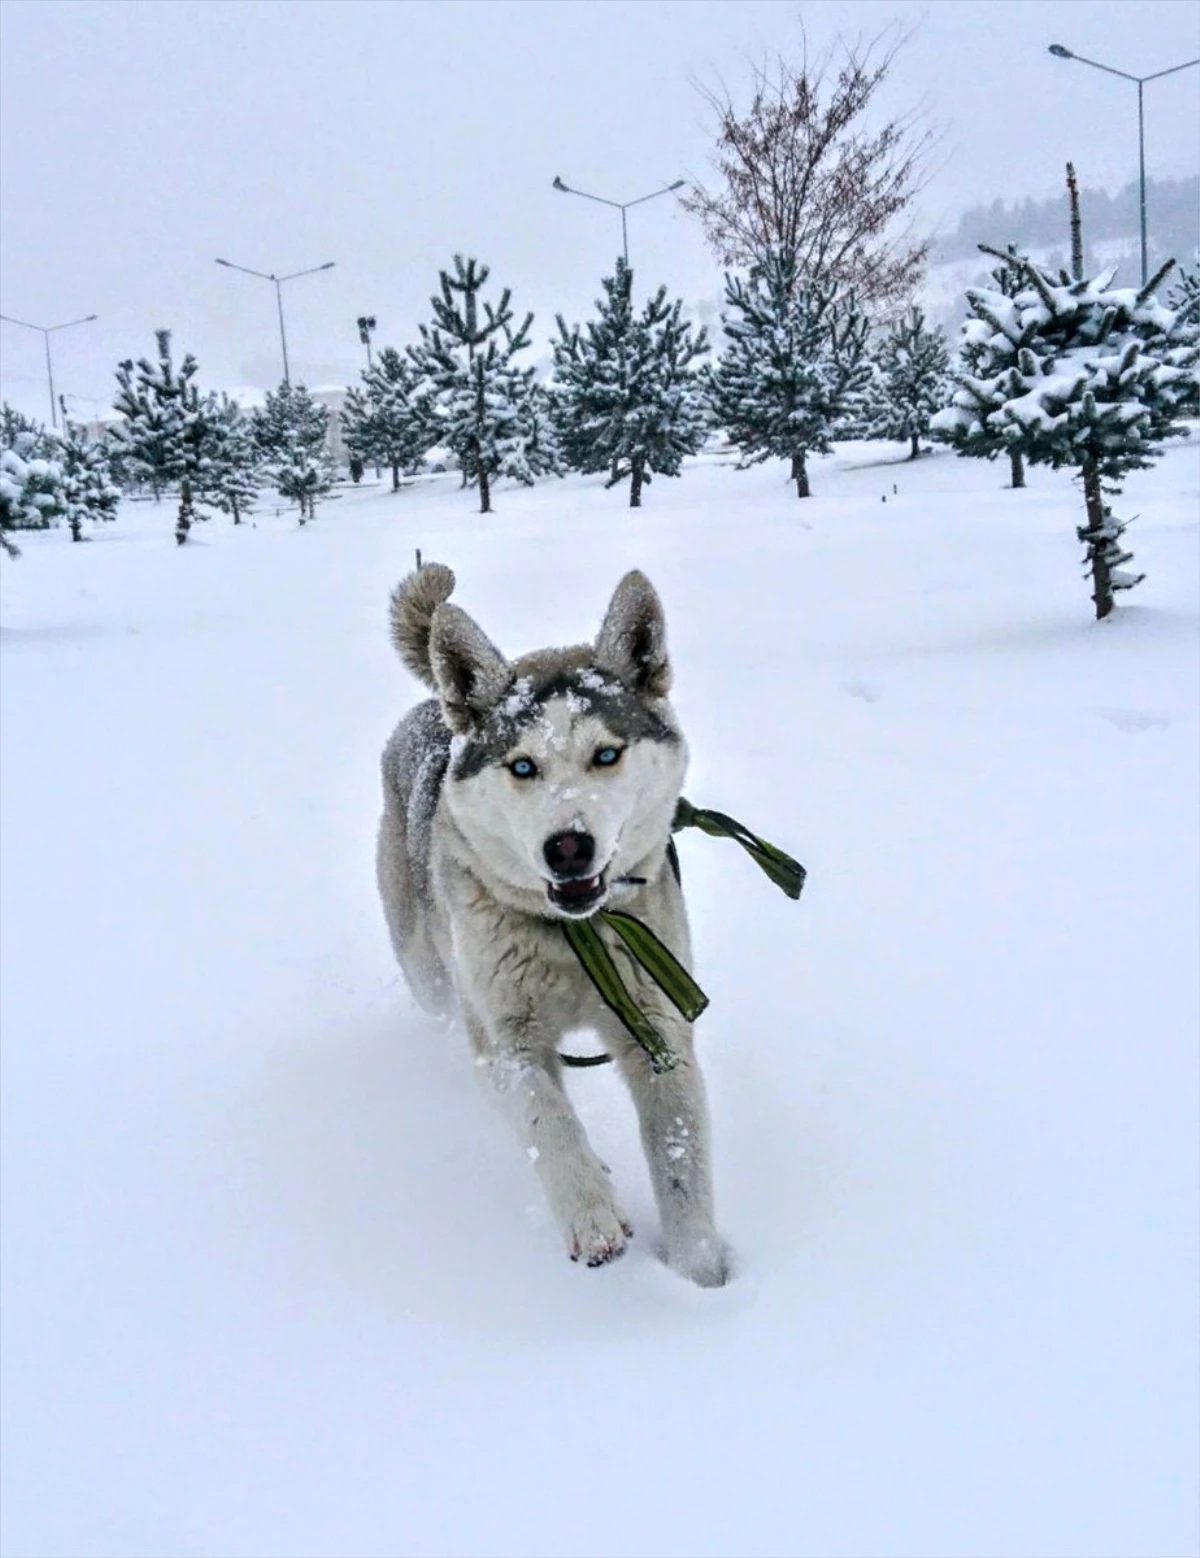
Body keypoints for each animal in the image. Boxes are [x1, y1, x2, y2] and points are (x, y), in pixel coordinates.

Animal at [378, 567, 723, 1283]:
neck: (574, 938)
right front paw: (592, 1215)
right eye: (523, 766)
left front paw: (697, 1276)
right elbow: (549, 1120)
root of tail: (433, 712)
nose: (568, 847)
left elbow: (682, 1159)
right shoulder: (504, 1041)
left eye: (607, 754)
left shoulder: (658, 1025)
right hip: (428, 973)